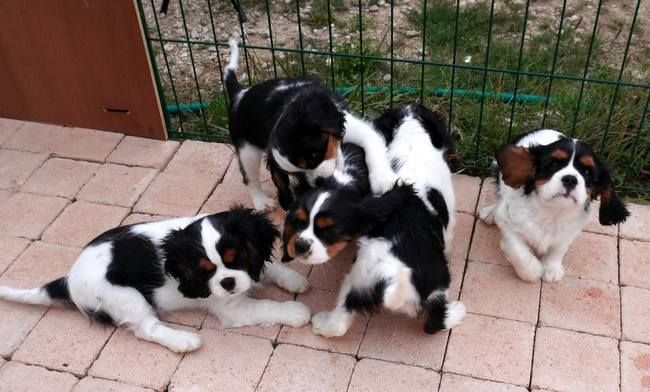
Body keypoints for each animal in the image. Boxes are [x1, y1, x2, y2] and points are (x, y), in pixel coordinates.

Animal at [0, 208, 312, 352]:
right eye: (206, 271)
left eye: (238, 258)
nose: (227, 283)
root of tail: (69, 278)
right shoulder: (230, 306)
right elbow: (266, 306)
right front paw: (295, 311)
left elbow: (267, 268)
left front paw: (293, 279)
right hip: (125, 297)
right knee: (145, 328)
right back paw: (184, 341)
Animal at [478, 130, 624, 284]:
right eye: (553, 165)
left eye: (587, 172)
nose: (570, 179)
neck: (553, 211)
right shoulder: (507, 221)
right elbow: (518, 250)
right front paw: (532, 271)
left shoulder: (568, 233)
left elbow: (558, 249)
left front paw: (551, 268)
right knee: (499, 196)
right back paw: (490, 213)